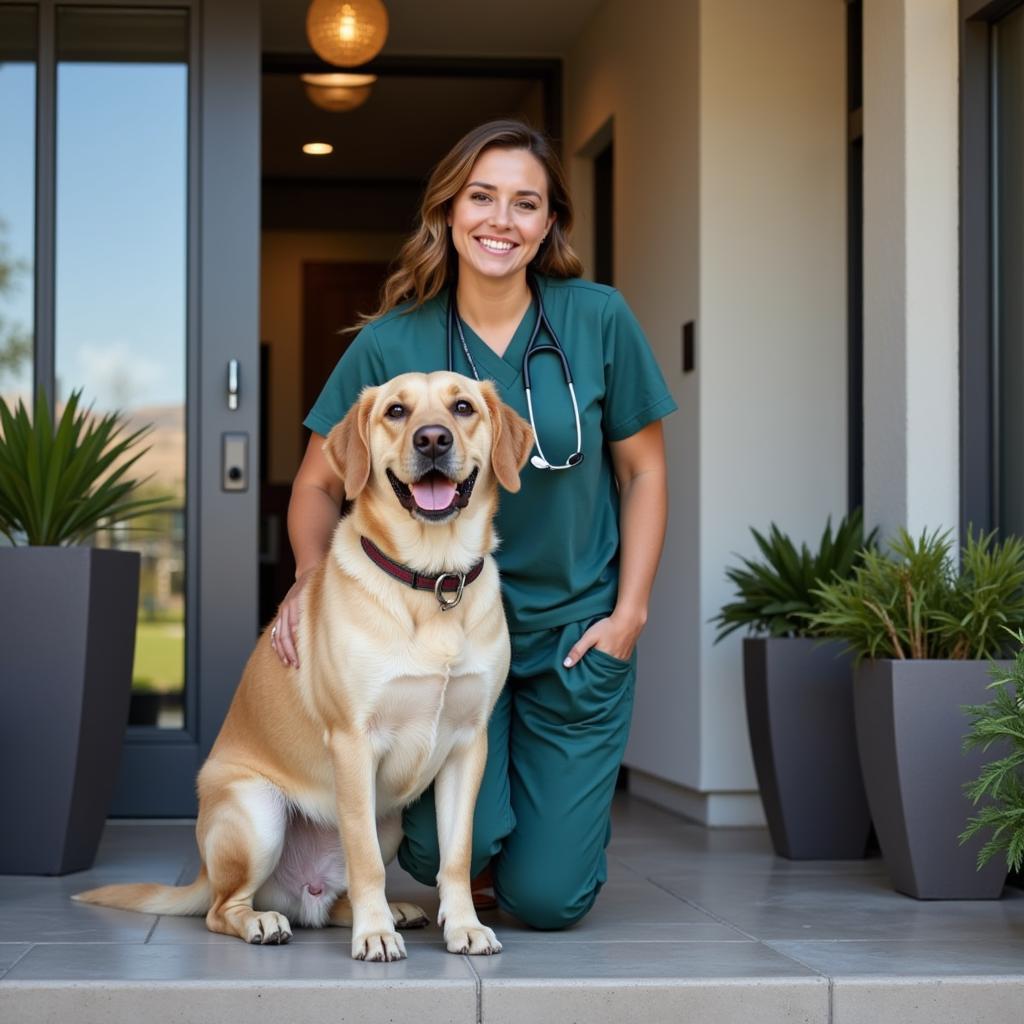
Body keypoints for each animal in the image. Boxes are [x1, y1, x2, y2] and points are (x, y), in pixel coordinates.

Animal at [75, 374, 532, 958]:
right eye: (396, 411)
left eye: (463, 407)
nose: (432, 439)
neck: (433, 579)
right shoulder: (353, 742)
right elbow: (363, 860)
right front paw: (374, 936)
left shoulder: (467, 745)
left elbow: (456, 854)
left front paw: (463, 926)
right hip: (257, 812)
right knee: (224, 909)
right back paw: (269, 922)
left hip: (389, 823)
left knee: (328, 903)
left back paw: (389, 911)